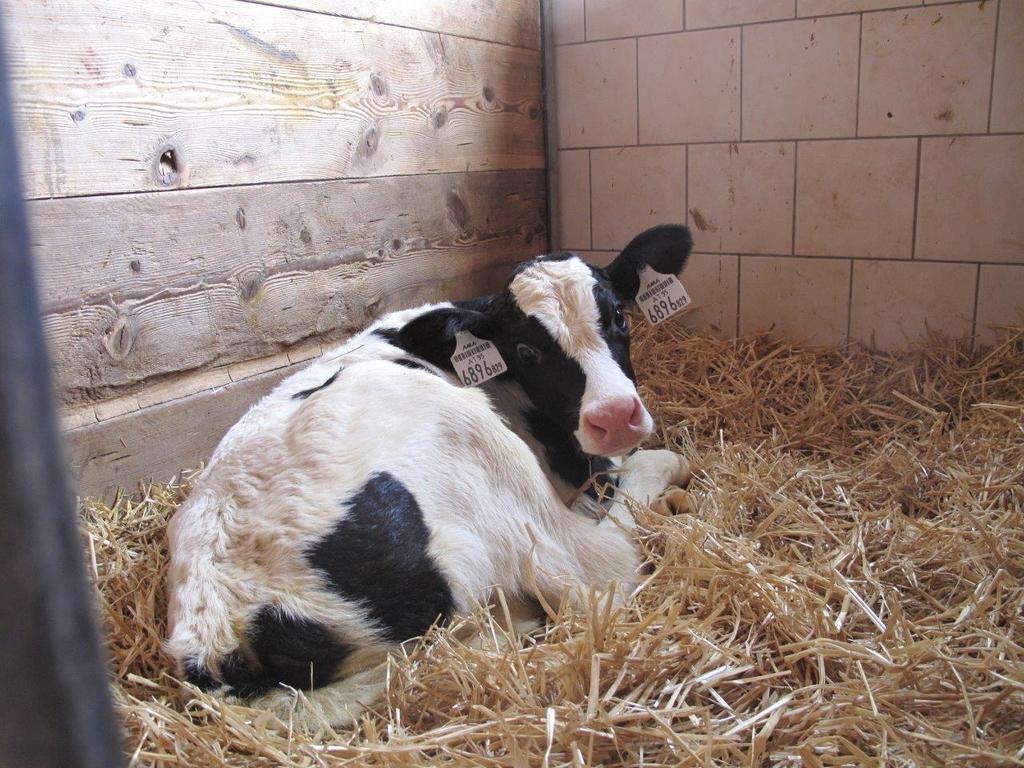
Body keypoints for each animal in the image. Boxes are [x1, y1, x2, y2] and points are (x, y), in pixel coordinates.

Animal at [165, 225, 696, 729]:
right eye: (525, 350)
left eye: (619, 317)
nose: (615, 416)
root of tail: (217, 642)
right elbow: (648, 467)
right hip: (485, 458)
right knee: (605, 567)